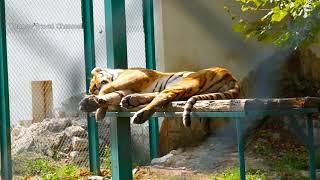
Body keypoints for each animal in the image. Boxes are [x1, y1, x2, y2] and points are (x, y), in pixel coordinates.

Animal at [79, 67, 240, 127]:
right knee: (163, 96)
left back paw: (140, 115)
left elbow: (107, 89)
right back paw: (131, 101)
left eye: (94, 85)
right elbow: (111, 96)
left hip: (186, 81)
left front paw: (96, 104)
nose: (94, 87)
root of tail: (231, 77)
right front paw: (98, 108)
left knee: (163, 96)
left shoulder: (135, 76)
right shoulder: (124, 90)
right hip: (186, 89)